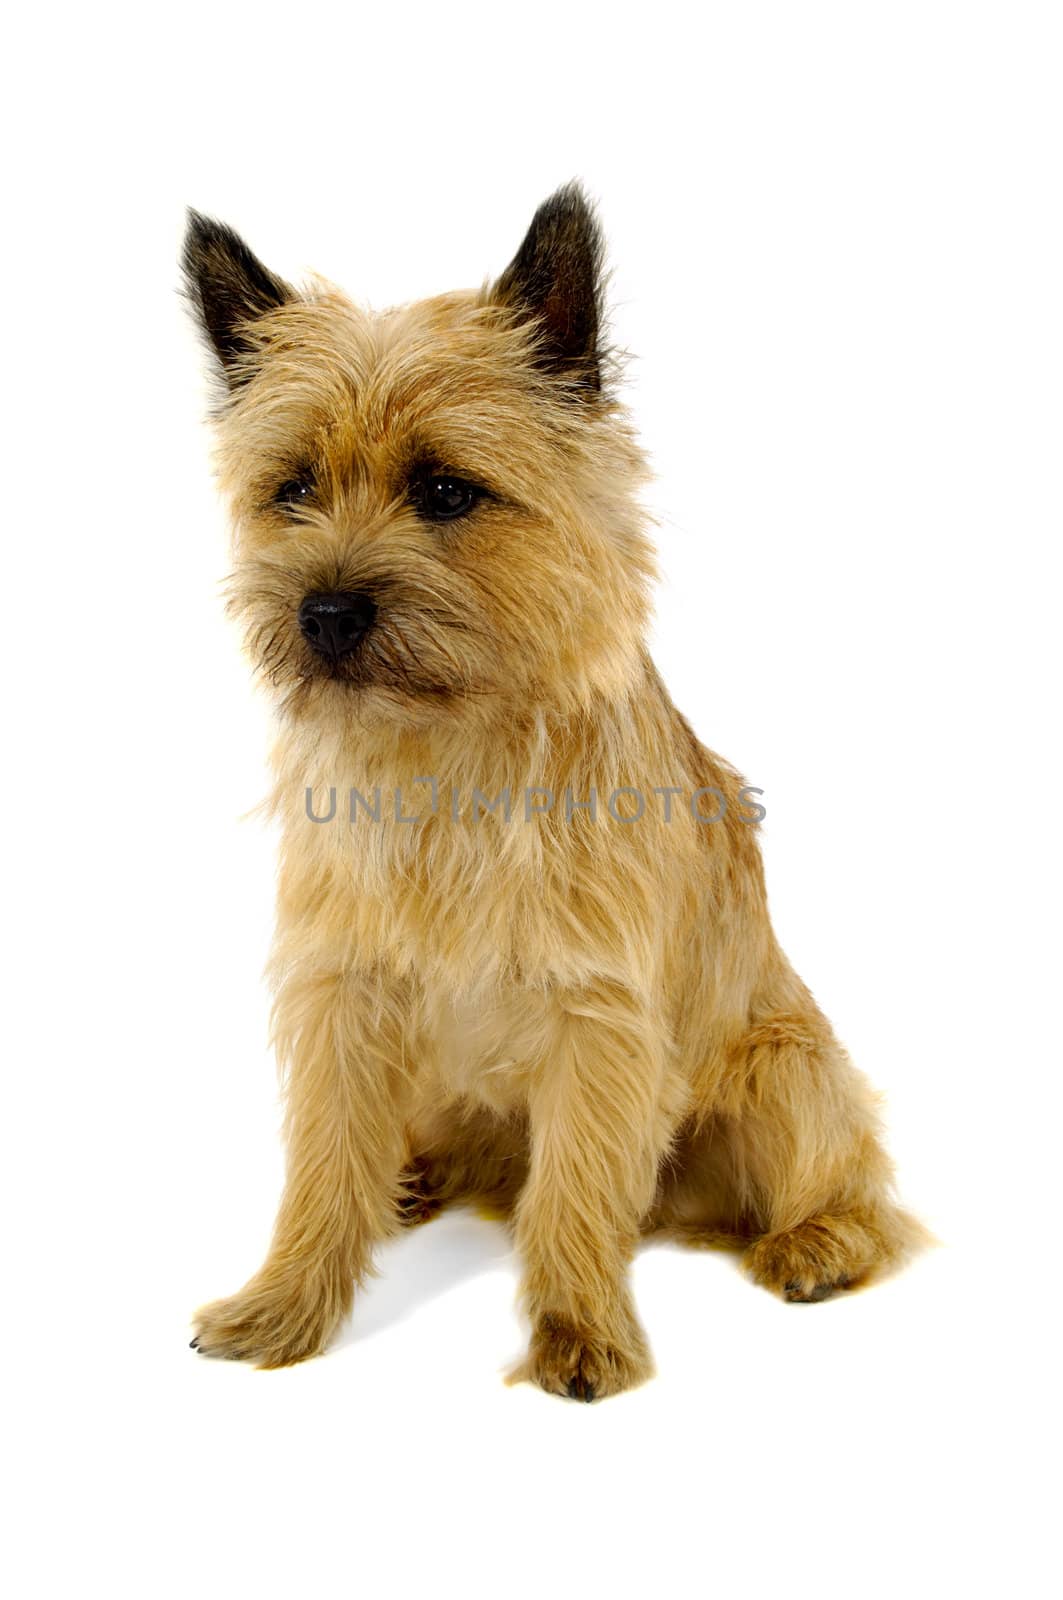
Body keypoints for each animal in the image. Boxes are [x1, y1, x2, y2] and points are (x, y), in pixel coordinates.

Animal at [180, 181, 922, 1395]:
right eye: (291, 489)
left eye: (446, 490)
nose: (324, 613)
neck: (444, 750)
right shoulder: (340, 997)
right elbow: (322, 1168)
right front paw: (285, 1304)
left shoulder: (595, 1019)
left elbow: (573, 1187)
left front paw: (579, 1335)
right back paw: (409, 1182)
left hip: (784, 1067)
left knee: (855, 1189)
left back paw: (814, 1243)